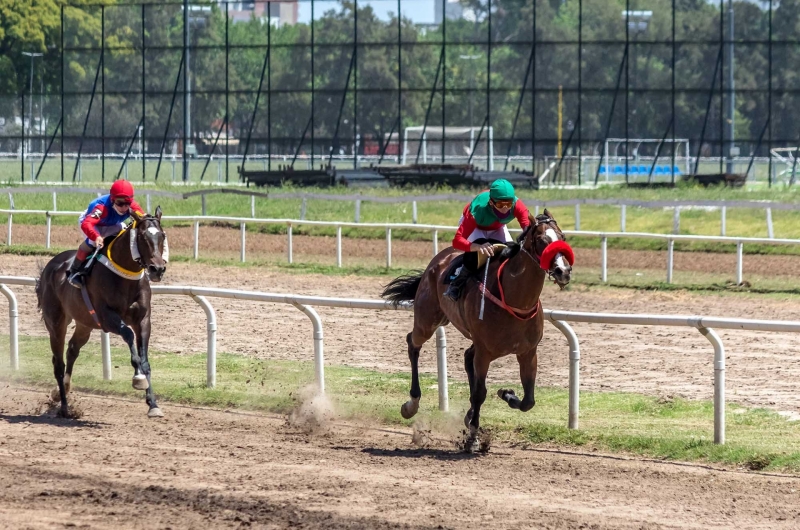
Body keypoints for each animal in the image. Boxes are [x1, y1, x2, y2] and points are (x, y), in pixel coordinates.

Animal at [37, 206, 170, 416]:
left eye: (162, 235)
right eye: (142, 236)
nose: (157, 269)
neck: (126, 276)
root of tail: (50, 266)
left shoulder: (143, 319)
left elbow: (145, 359)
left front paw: (153, 404)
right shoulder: (106, 317)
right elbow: (128, 335)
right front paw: (138, 377)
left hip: (85, 322)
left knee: (72, 349)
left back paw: (63, 390)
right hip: (56, 324)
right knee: (58, 363)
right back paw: (65, 407)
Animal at [384, 209, 572, 450]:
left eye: (563, 237)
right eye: (541, 240)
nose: (563, 271)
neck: (514, 301)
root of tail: (439, 259)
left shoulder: (528, 352)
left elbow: (528, 401)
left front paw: (506, 393)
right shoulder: (485, 353)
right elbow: (480, 393)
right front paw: (472, 437)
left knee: (466, 356)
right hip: (427, 320)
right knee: (412, 343)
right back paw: (411, 404)